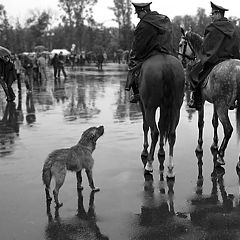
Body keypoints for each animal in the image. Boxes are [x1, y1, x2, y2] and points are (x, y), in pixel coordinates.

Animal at [182, 30, 240, 167]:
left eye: (181, 44)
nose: (182, 61)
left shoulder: (203, 102)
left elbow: (200, 123)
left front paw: (199, 147)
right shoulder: (215, 103)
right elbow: (214, 122)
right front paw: (214, 144)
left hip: (222, 107)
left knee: (228, 129)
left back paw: (220, 156)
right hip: (221, 105)